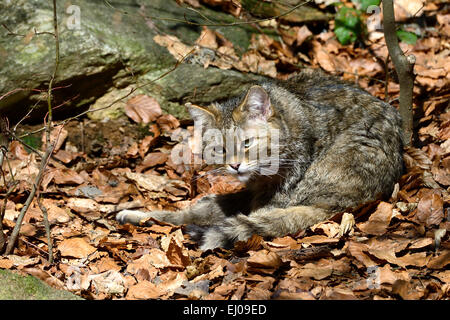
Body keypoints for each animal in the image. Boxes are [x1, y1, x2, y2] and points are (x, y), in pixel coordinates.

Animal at [117, 70, 404, 250]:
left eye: (247, 143)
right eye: (220, 149)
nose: (235, 165)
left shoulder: (270, 200)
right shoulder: (246, 195)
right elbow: (186, 212)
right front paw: (140, 215)